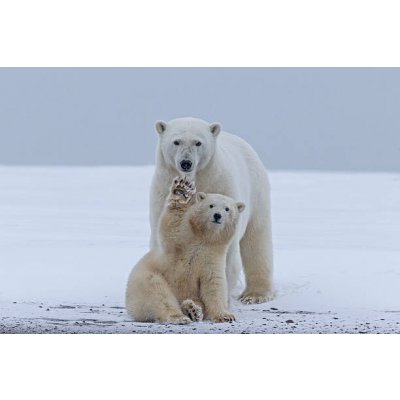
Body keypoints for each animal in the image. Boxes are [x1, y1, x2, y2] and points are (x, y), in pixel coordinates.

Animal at [150, 117, 276, 304]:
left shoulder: (219, 185)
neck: (196, 178)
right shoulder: (162, 190)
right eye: (176, 141)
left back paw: (255, 294)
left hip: (257, 192)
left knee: (257, 239)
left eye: (198, 142)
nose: (186, 163)